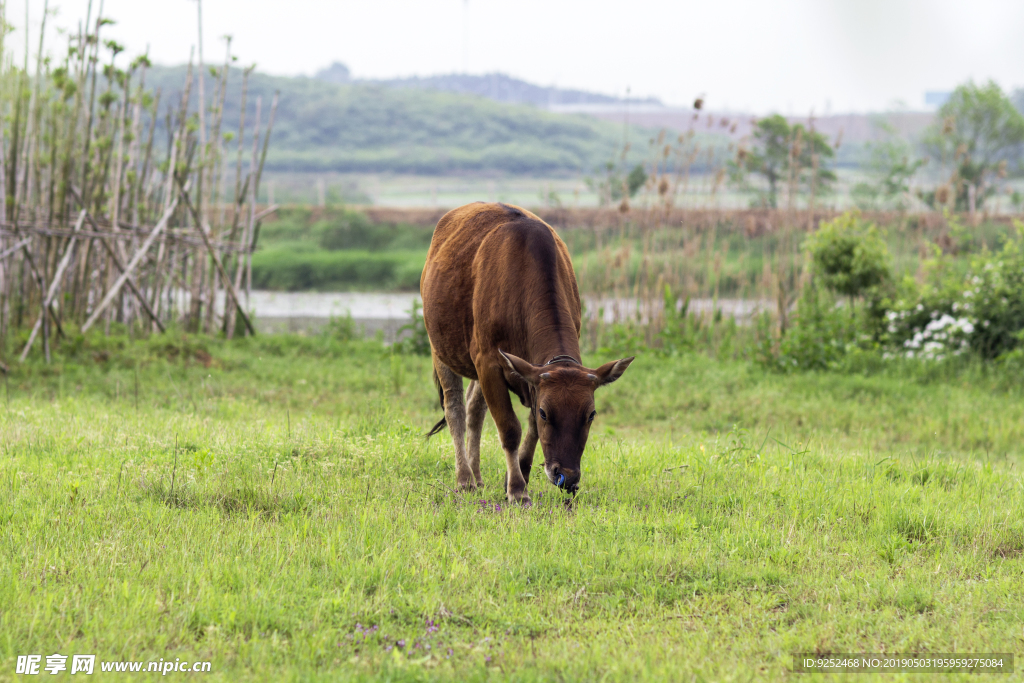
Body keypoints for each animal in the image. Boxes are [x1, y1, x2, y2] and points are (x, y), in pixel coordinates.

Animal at [417, 200, 630, 505]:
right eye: (546, 413)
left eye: (591, 414)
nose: (567, 477)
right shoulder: (489, 362)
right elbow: (509, 428)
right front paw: (517, 490)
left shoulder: (529, 376)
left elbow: (530, 429)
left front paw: (521, 475)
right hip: (440, 349)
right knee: (455, 408)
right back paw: (465, 479)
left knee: (474, 409)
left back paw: (477, 476)